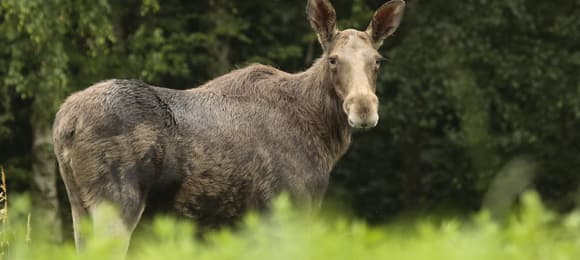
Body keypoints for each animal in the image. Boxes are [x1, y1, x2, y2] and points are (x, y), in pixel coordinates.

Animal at [53, 0, 404, 255]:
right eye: (333, 59)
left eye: (377, 60)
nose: (364, 108)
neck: (324, 136)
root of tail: (64, 125)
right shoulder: (290, 204)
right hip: (116, 202)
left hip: (79, 205)